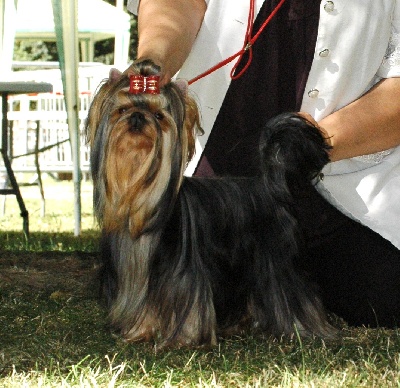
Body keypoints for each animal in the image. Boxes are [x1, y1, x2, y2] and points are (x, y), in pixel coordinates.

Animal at [86, 61, 336, 348]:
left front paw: (183, 338)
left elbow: (189, 306)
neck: (141, 197)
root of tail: (271, 186)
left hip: (277, 260)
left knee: (292, 292)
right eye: (123, 110)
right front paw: (141, 331)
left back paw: (302, 328)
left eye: (159, 116)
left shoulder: (184, 275)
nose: (137, 118)